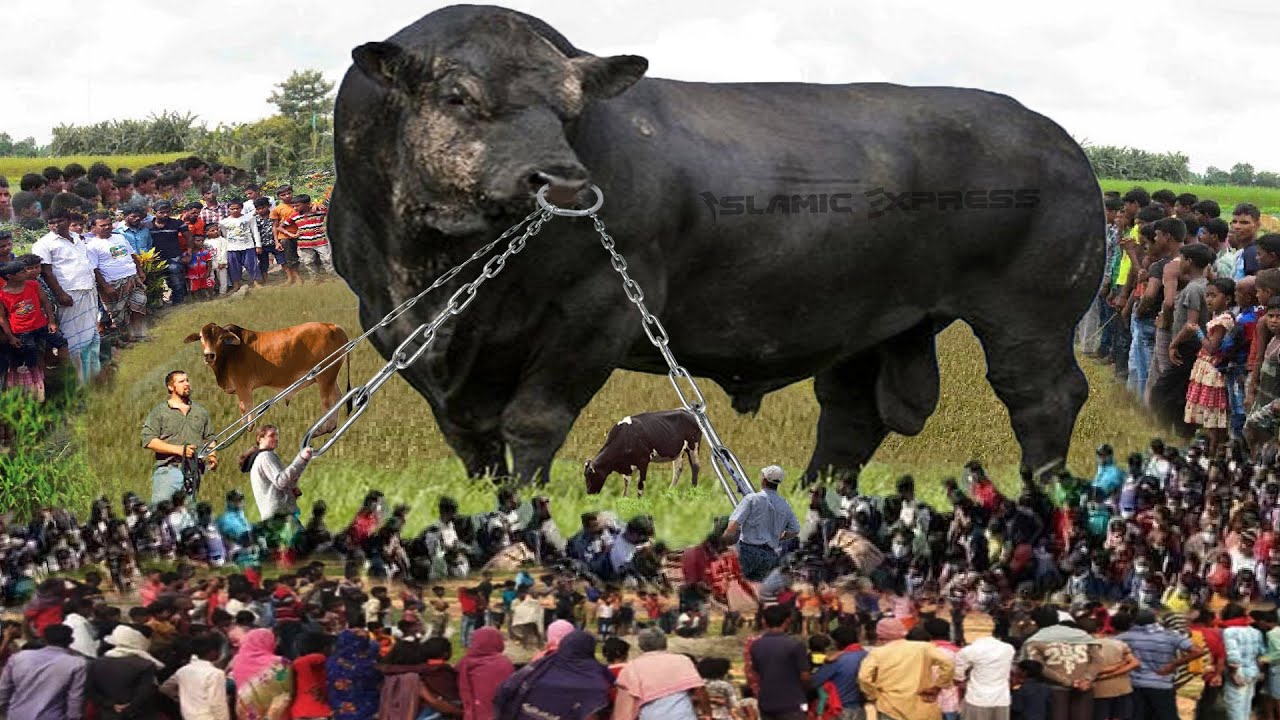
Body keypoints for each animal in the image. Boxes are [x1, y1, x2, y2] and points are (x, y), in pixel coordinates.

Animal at [182, 322, 351, 435]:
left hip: (325, 375)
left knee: (327, 402)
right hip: (331, 377)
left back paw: (322, 429)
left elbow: (245, 406)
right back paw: (331, 427)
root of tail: (334, 327)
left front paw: (247, 428)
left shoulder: (243, 386)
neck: (229, 352)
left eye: (220, 337)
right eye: (201, 337)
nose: (209, 355)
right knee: (338, 396)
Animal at [328, 6, 1103, 490]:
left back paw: (1044, 494)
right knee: (851, 415)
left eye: (570, 110)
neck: (430, 262)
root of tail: (1057, 138)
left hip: (1030, 315)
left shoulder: (598, 311)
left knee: (1042, 398)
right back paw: (816, 498)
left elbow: (533, 421)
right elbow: (470, 436)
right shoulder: (387, 321)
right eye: (457, 95)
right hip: (876, 320)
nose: (564, 181)